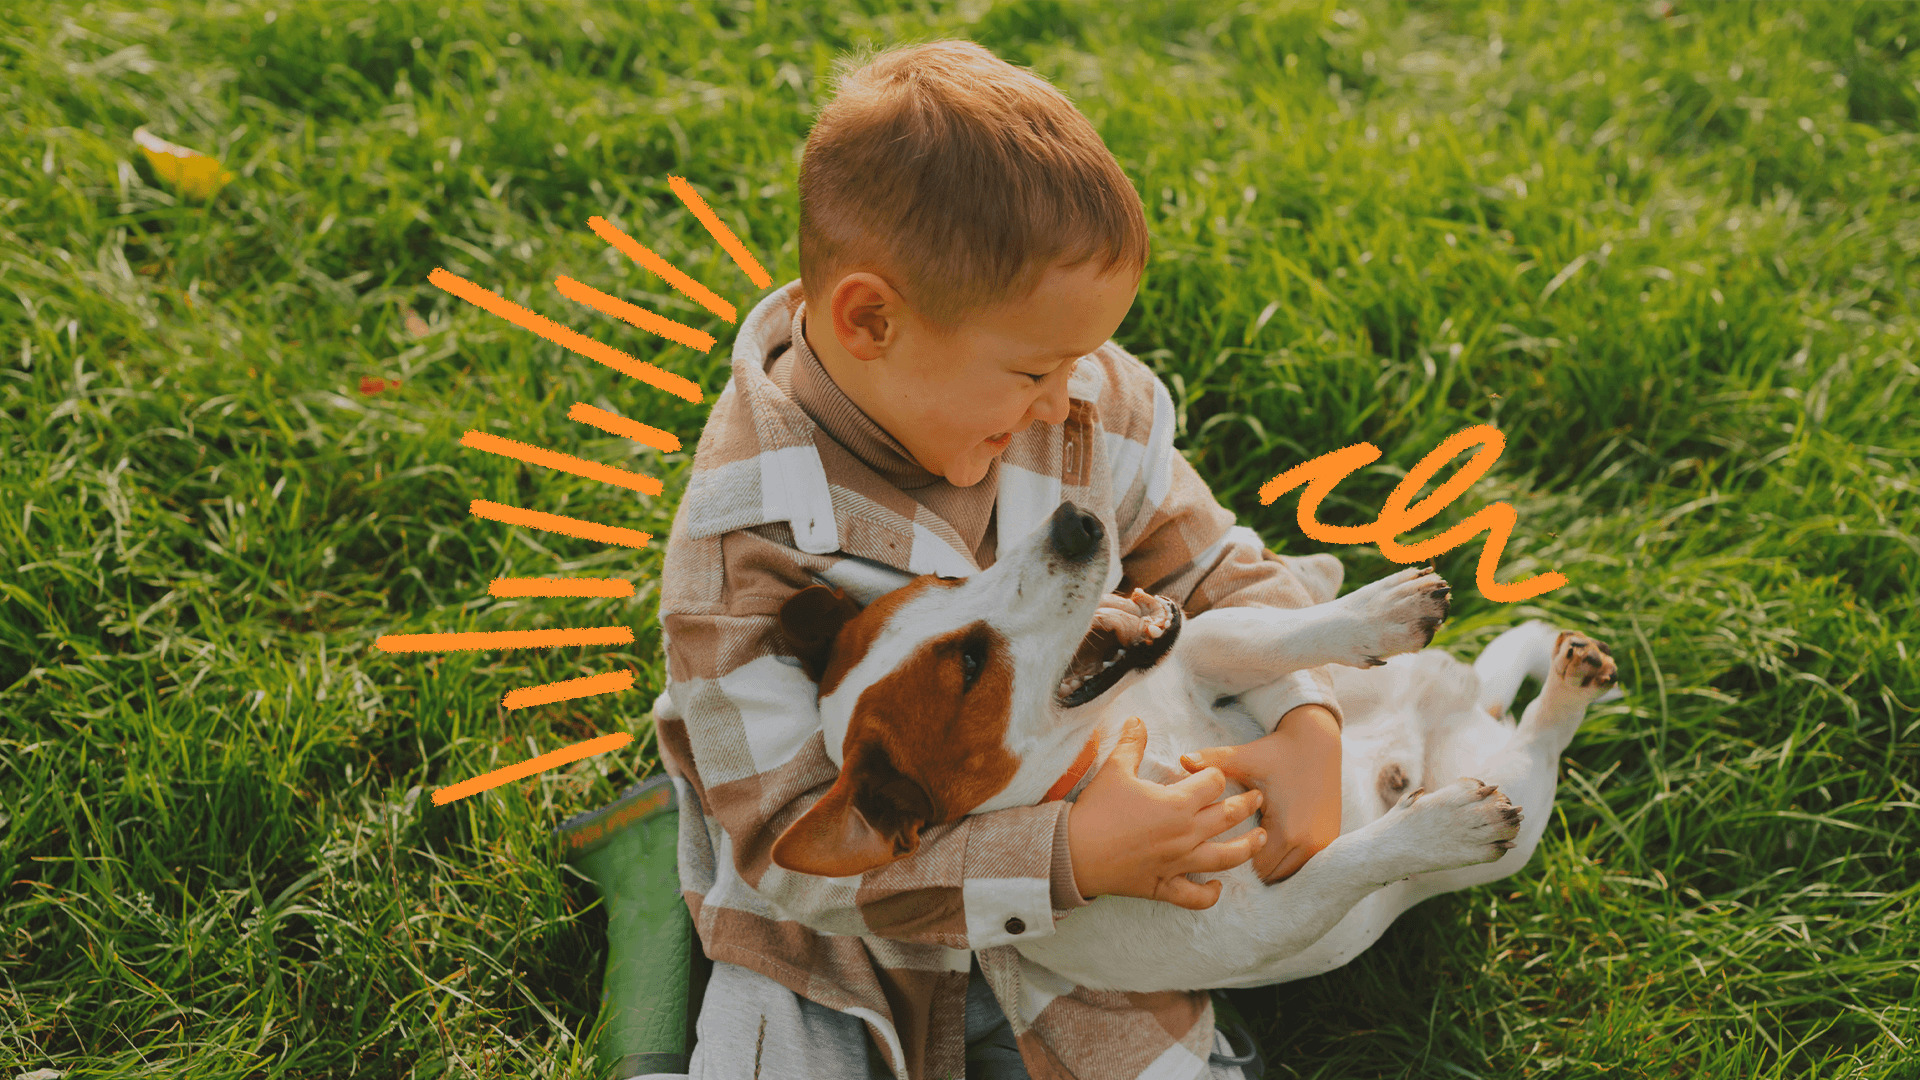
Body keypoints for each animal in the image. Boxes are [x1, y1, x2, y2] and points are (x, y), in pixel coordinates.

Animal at [768, 499, 1620, 991]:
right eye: (971, 665)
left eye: (947, 580)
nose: (1074, 519)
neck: (1118, 745)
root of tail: (1474, 703)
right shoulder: (1267, 913)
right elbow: (1354, 860)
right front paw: (1442, 827)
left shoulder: (1205, 651)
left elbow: (1274, 636)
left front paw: (1376, 612)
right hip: (1521, 807)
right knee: (1540, 750)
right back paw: (1566, 689)